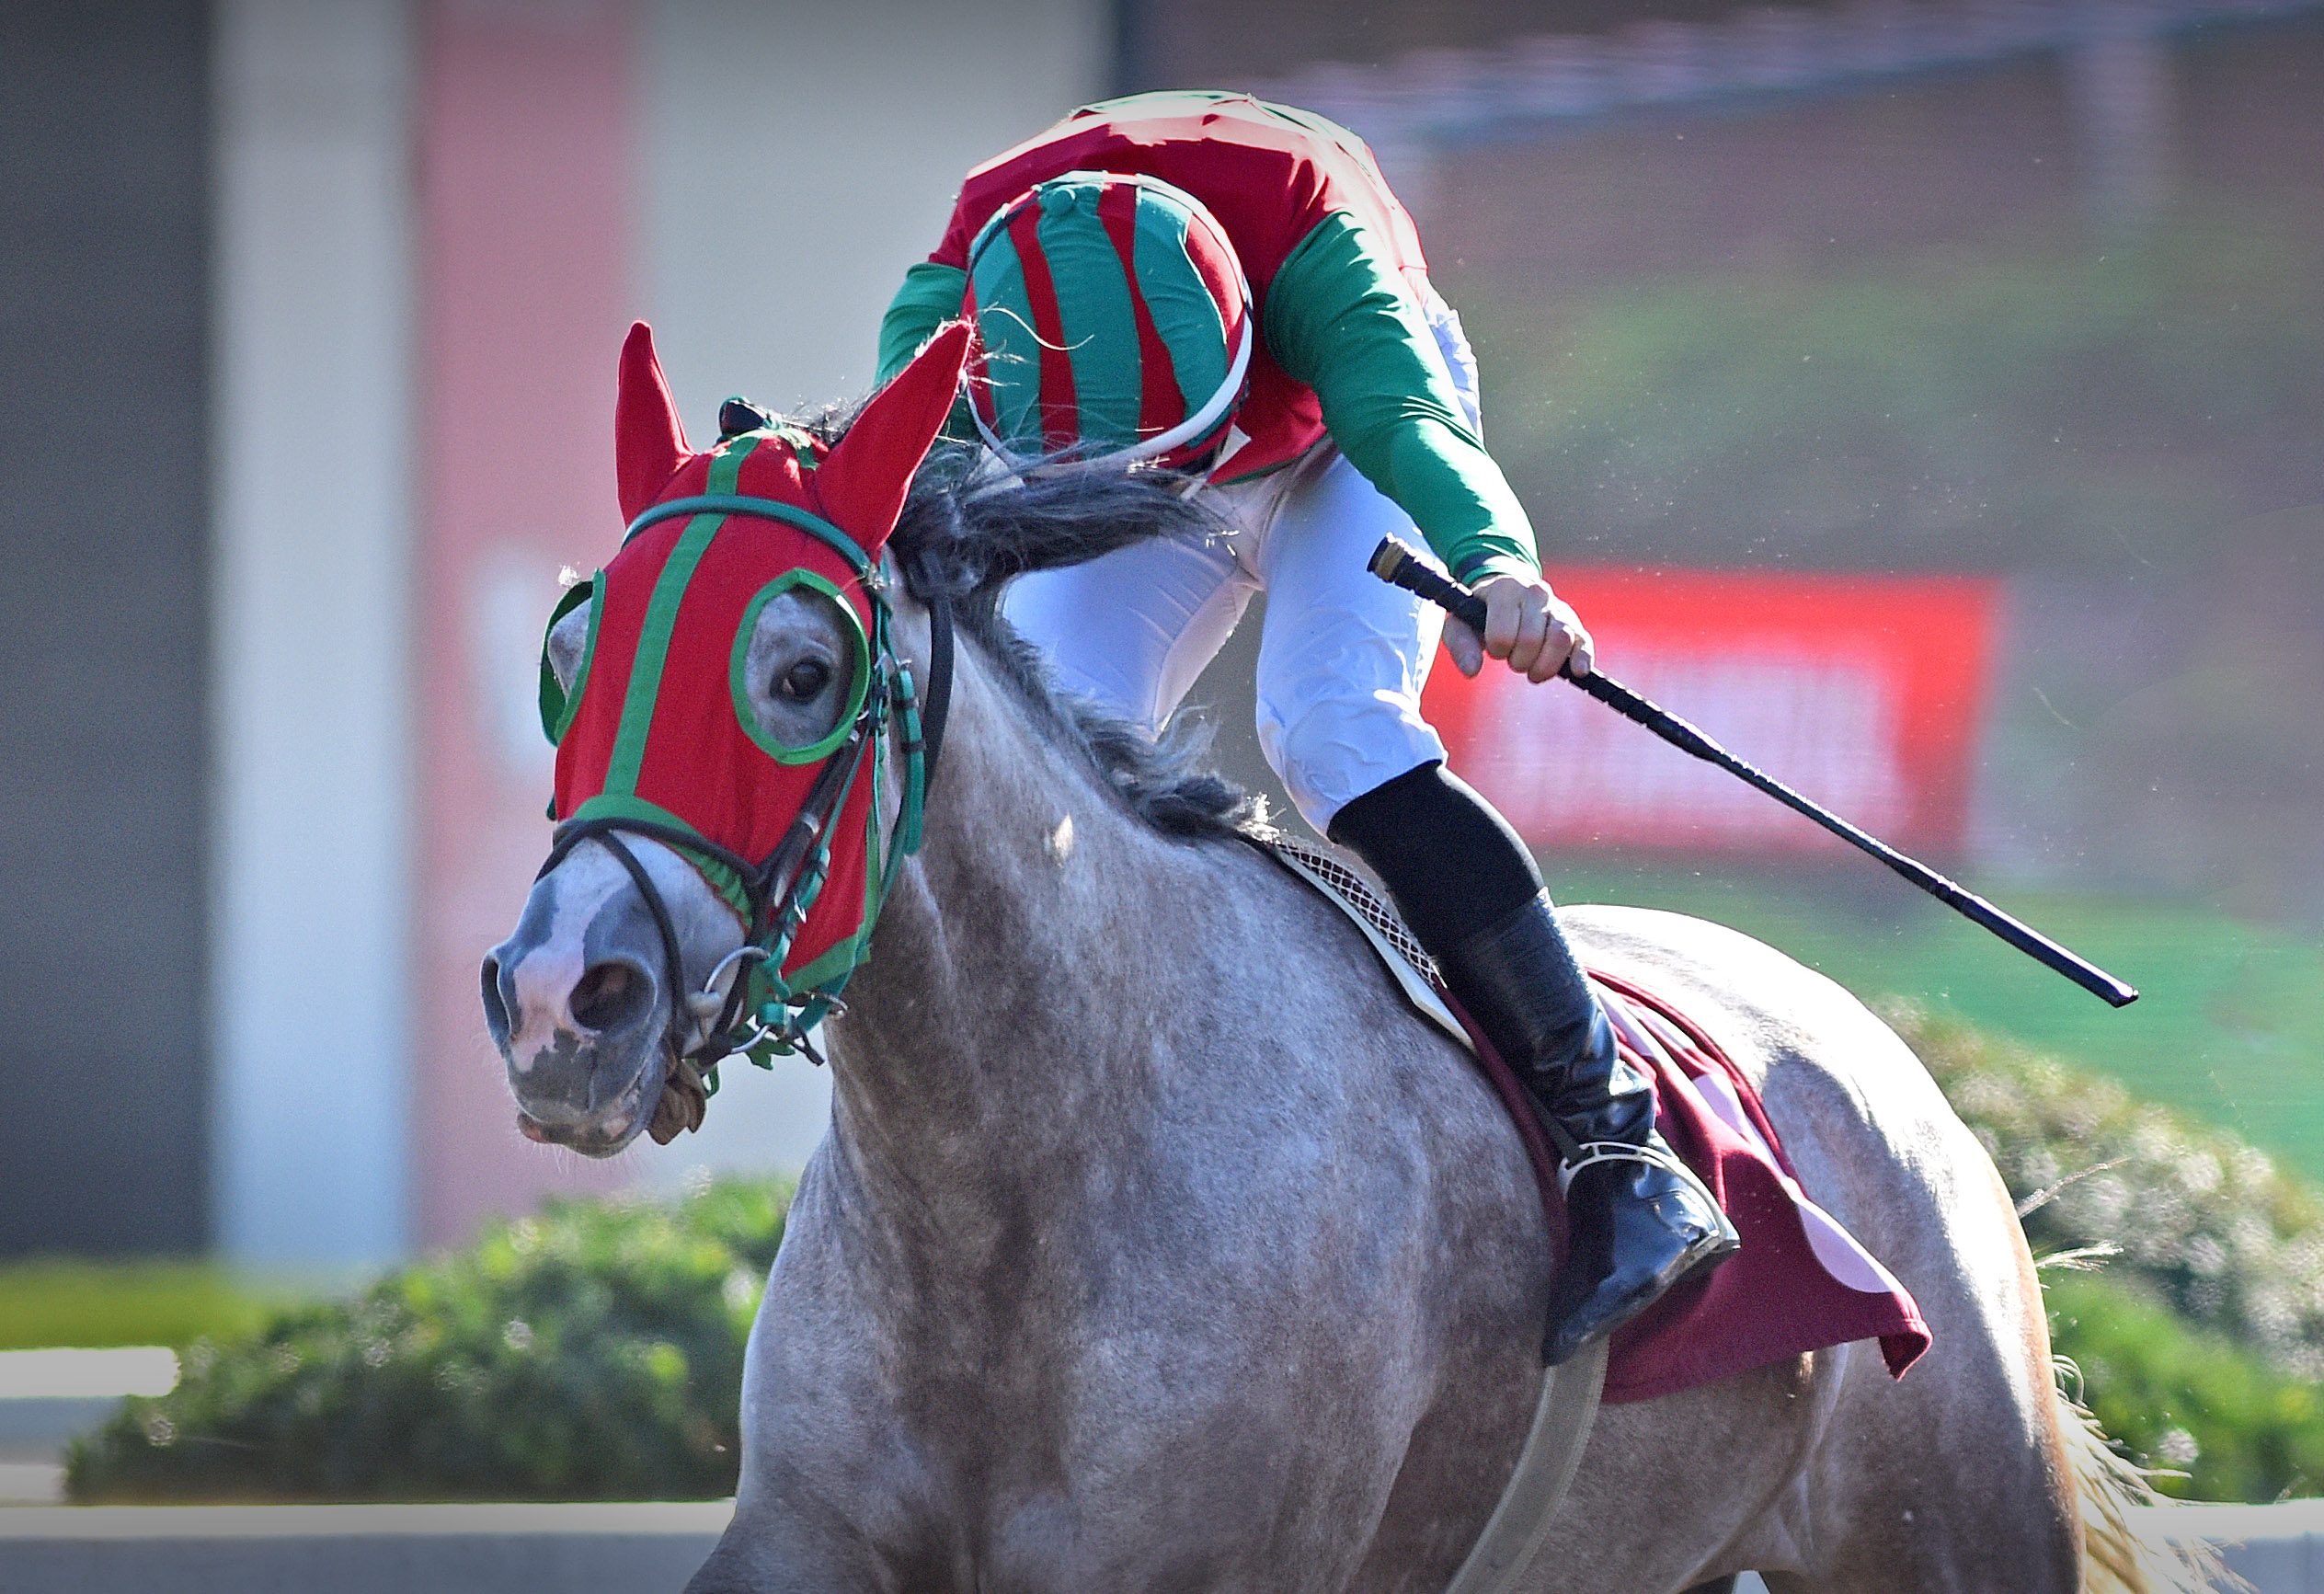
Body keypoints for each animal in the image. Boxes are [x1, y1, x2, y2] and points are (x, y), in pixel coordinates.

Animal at [482, 322, 2193, 1593]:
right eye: (568, 655)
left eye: (799, 671)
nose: (564, 997)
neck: (1015, 1174)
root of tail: (1899, 1075)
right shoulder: (810, 1534)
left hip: (1951, 1526)